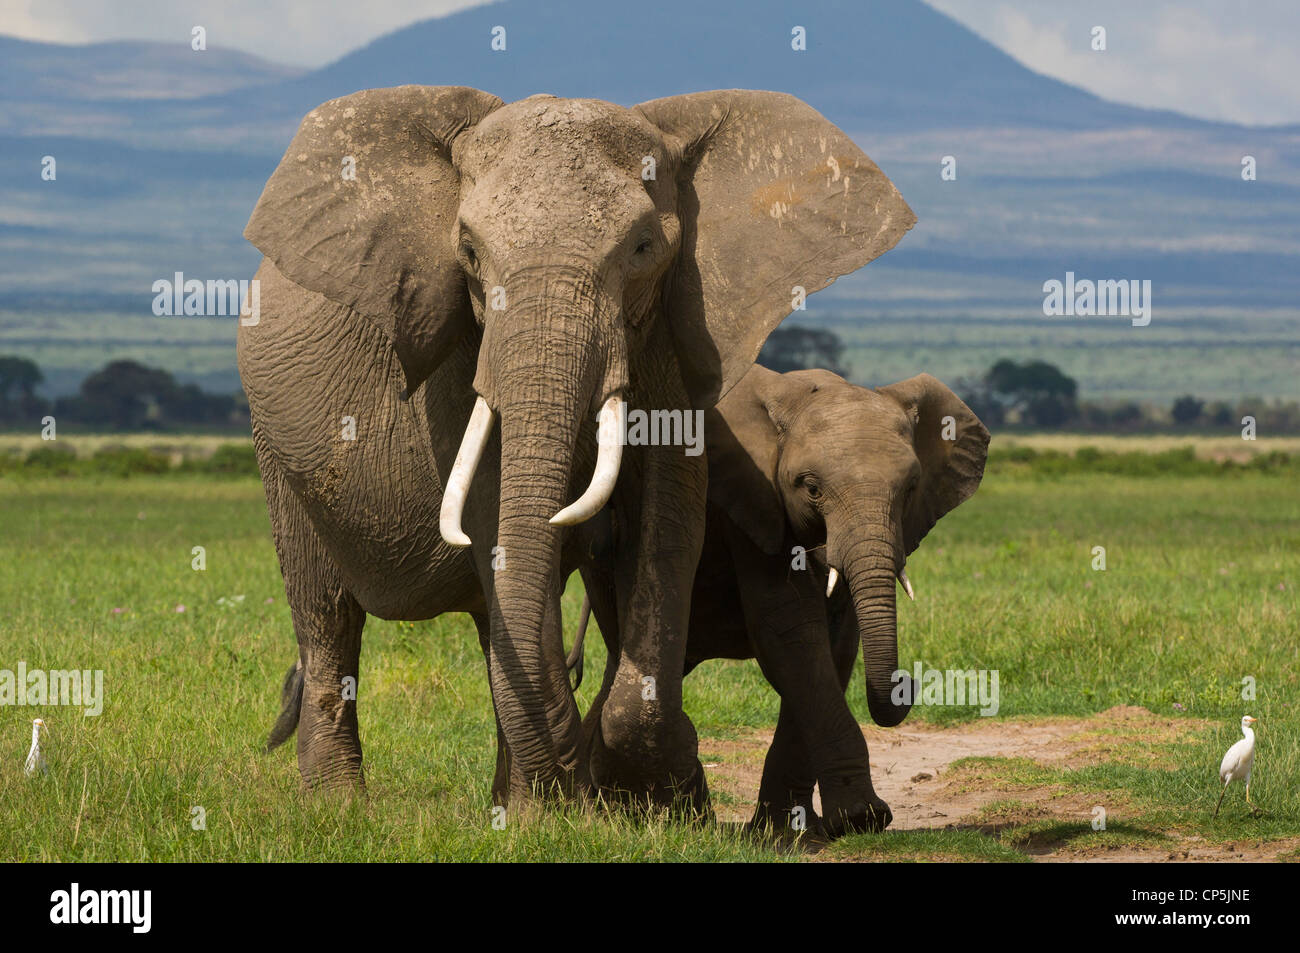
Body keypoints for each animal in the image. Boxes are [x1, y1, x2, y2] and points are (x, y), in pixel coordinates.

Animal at [241, 85, 915, 806]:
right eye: (468, 252)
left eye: (644, 247)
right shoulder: (461, 349)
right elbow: (495, 518)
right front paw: (591, 792)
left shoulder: (673, 329)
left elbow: (666, 521)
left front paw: (646, 784)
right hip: (274, 449)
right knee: (326, 615)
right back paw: (344, 807)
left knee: (487, 623)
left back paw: (514, 802)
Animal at [574, 364, 987, 832]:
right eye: (811, 488)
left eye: (912, 488)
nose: (909, 683)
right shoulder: (752, 501)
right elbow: (789, 630)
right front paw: (861, 819)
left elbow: (833, 646)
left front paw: (795, 829)